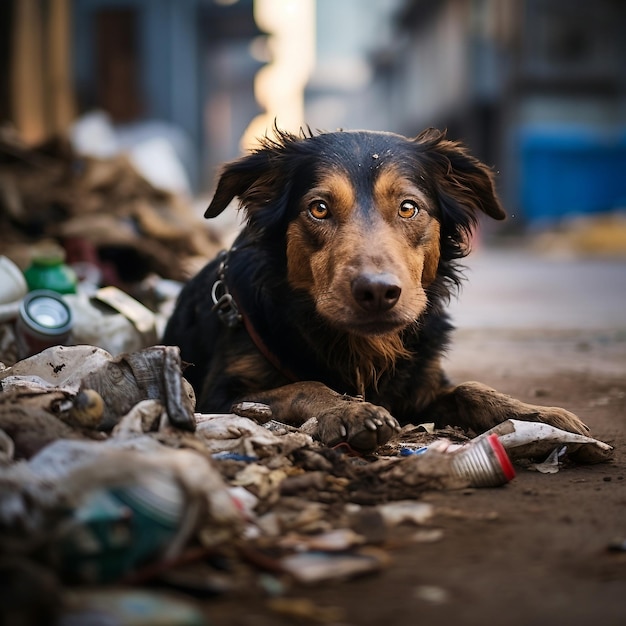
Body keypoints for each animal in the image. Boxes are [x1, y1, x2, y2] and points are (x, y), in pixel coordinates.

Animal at [163, 125, 588, 448]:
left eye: (408, 207)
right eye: (319, 208)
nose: (378, 293)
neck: (361, 345)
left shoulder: (419, 390)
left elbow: (471, 388)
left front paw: (538, 415)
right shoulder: (216, 397)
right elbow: (305, 384)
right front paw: (350, 409)